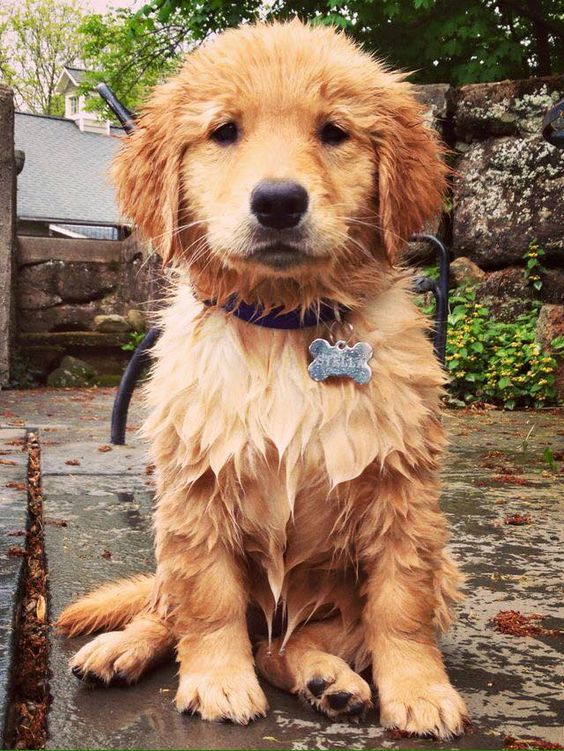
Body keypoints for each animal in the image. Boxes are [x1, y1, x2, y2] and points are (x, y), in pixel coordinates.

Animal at [59, 19, 470, 740]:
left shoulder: (403, 490)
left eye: (334, 131)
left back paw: (328, 680)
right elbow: (208, 604)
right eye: (225, 131)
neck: (281, 324)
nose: (279, 202)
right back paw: (122, 648)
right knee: (173, 612)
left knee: (291, 641)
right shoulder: (196, 489)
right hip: (166, 543)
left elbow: (400, 605)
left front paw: (420, 689)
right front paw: (218, 680)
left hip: (412, 575)